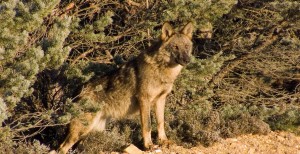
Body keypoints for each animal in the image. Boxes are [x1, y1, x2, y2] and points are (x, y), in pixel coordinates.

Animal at [54, 22, 195, 154]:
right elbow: (147, 126)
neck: (162, 70)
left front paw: (164, 141)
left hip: (92, 132)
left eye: (186, 47)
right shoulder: (144, 100)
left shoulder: (161, 100)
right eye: (175, 47)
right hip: (82, 130)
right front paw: (148, 146)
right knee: (61, 148)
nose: (187, 60)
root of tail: (77, 91)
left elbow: (161, 123)